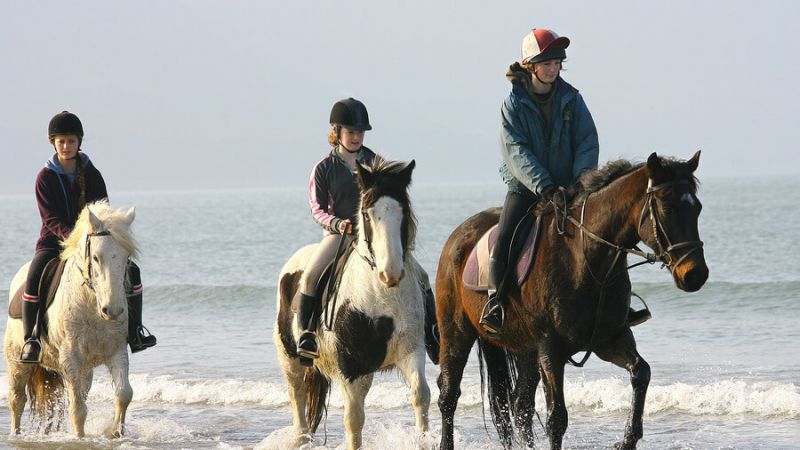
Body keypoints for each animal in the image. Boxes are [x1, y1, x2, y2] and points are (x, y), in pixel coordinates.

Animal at [3, 202, 138, 438]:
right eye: (96, 257)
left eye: (126, 258)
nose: (112, 310)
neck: (91, 305)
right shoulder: (70, 358)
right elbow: (78, 409)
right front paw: (79, 438)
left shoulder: (116, 351)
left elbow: (123, 394)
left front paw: (115, 433)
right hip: (16, 361)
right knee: (17, 400)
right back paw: (15, 435)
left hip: (84, 369)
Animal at [274, 159, 432, 450]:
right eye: (368, 215)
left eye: (403, 212)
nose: (390, 273)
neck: (381, 298)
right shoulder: (351, 367)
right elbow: (354, 419)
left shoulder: (411, 352)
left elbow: (421, 396)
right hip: (290, 358)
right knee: (297, 399)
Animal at [434, 153, 708, 448]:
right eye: (667, 209)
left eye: (698, 208)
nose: (695, 275)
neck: (588, 260)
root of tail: (457, 236)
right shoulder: (551, 349)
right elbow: (557, 418)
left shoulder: (609, 340)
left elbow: (641, 372)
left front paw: (627, 439)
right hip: (457, 333)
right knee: (449, 395)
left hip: (528, 350)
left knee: (521, 405)